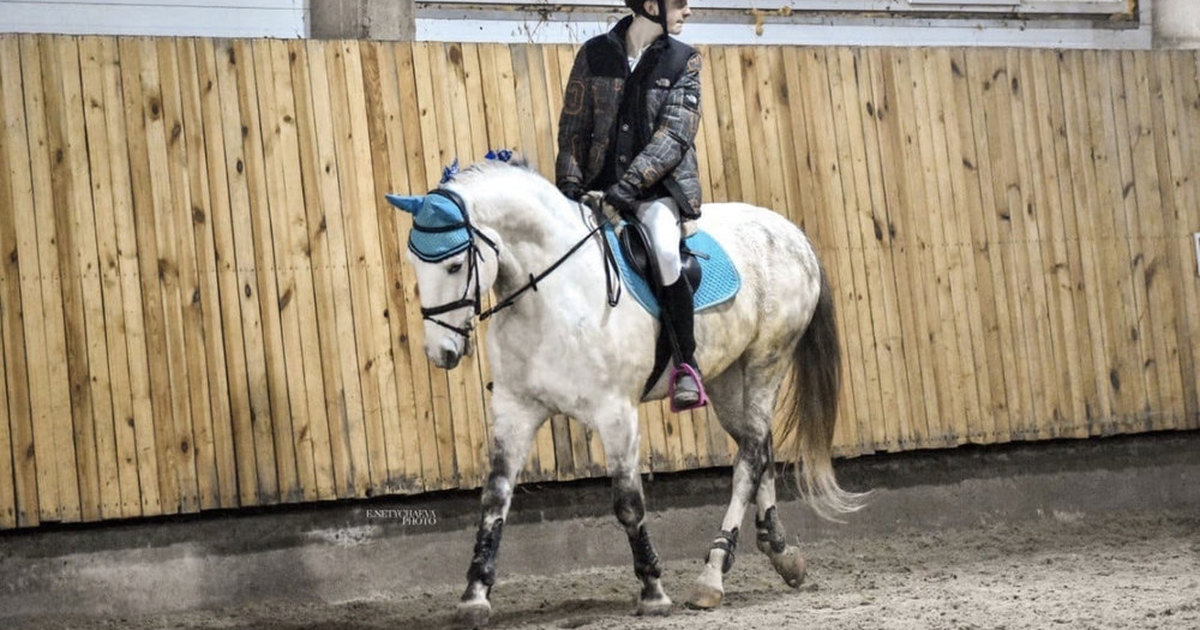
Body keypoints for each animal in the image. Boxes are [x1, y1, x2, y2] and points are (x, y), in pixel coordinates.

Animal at [388, 156, 868, 624]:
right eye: (414, 265)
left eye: (454, 265)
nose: (442, 352)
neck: (552, 297)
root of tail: (792, 234)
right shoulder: (515, 409)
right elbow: (495, 497)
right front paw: (475, 595)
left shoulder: (615, 413)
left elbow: (627, 502)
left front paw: (653, 591)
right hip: (728, 378)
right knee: (760, 444)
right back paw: (781, 552)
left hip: (766, 361)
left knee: (750, 456)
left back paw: (712, 575)